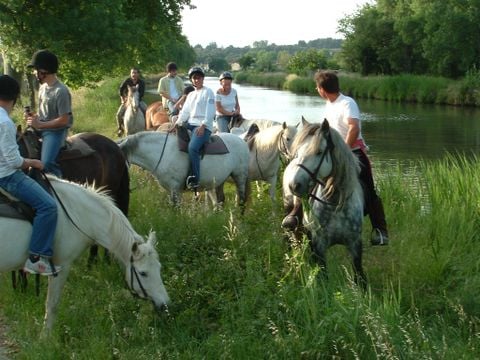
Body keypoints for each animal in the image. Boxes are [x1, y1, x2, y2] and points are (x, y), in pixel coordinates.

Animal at [0, 179, 169, 336]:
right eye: (143, 273)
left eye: (160, 269)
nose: (165, 305)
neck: (76, 213)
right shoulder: (62, 266)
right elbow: (52, 304)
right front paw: (45, 338)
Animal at [117, 131, 249, 207]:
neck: (163, 153)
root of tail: (242, 141)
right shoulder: (173, 191)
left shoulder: (175, 189)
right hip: (219, 181)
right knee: (220, 200)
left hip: (240, 176)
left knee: (242, 200)